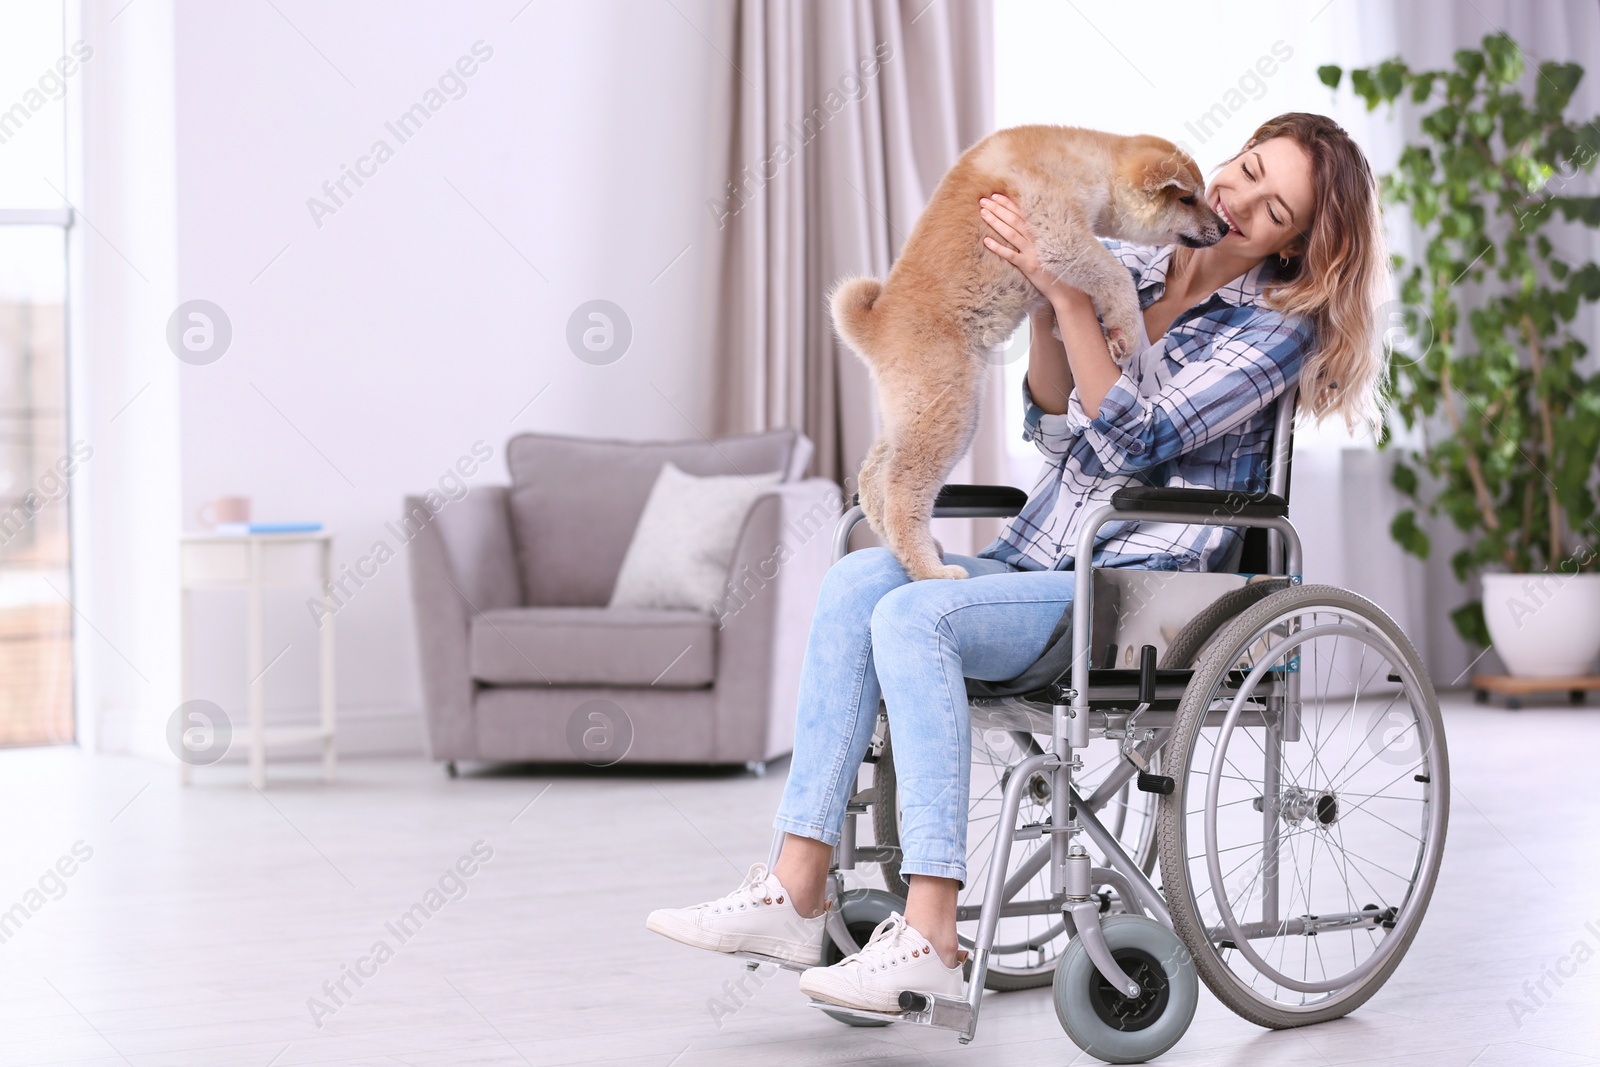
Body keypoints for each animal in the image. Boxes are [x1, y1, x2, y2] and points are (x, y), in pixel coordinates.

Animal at [825, 125, 1222, 585]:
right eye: (1187, 199)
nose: (1225, 227)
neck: (1089, 164)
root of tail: (876, 325)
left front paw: (1084, 329)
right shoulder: (1058, 236)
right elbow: (1117, 275)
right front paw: (1125, 327)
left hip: (911, 410)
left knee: (874, 478)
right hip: (947, 413)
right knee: (901, 490)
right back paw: (930, 569)